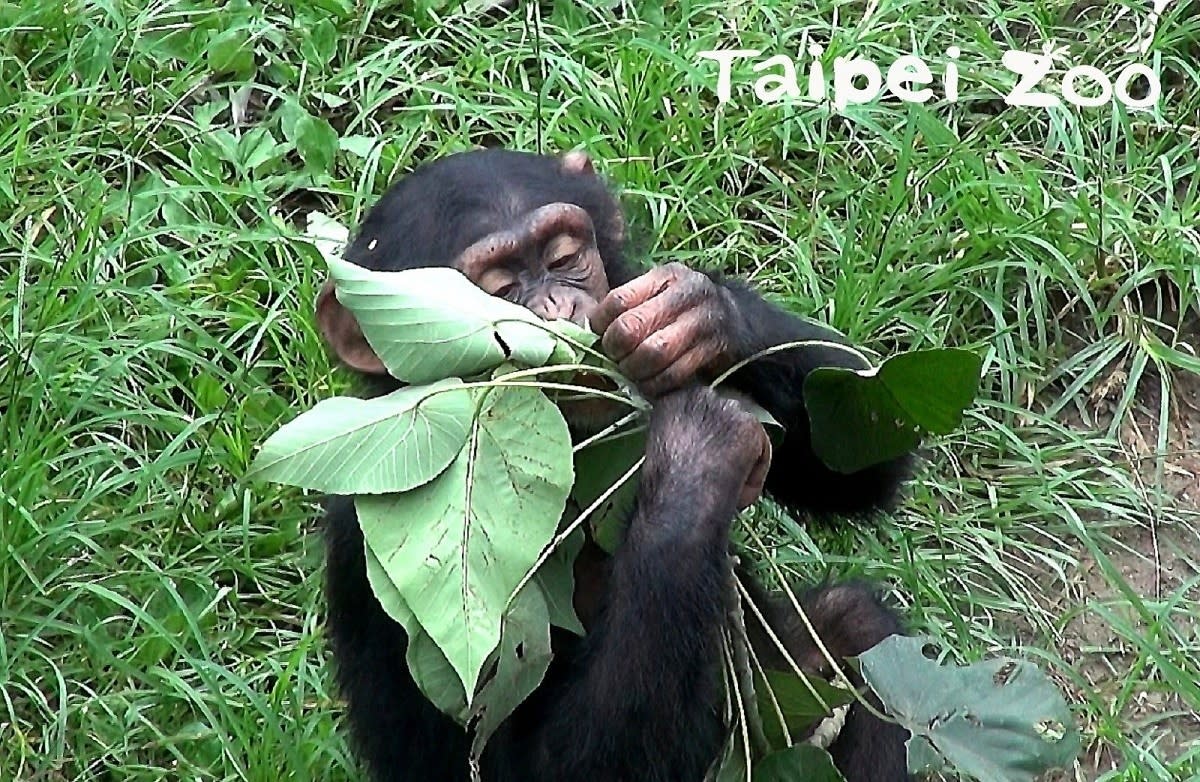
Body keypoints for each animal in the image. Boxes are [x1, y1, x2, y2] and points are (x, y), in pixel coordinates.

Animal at [314, 148, 912, 782]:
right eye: (497, 288)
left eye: (564, 257)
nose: (558, 308)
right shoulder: (375, 549)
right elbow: (543, 765)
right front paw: (697, 453)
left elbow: (862, 460)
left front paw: (694, 312)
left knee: (856, 631)